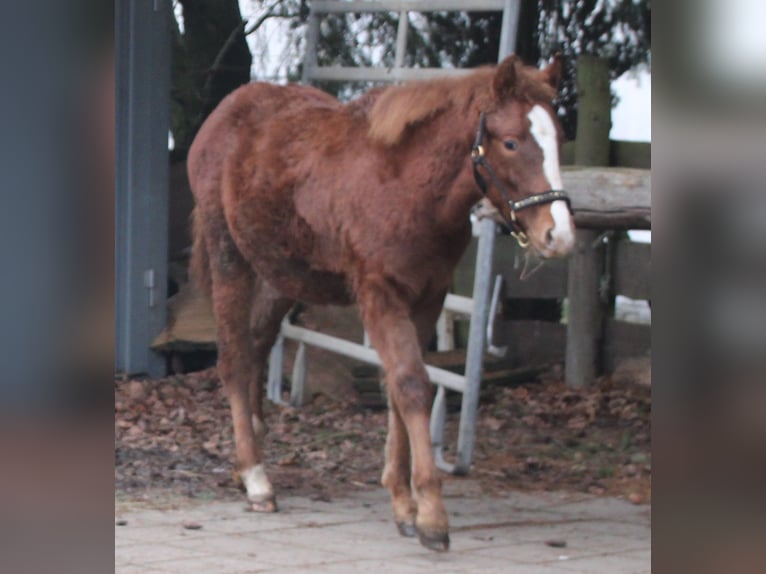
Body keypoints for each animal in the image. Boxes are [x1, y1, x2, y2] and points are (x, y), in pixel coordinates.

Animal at [188, 54, 576, 552]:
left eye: (559, 139)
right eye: (510, 142)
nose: (558, 235)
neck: (409, 186)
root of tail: (224, 112)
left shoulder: (427, 298)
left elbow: (397, 387)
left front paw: (403, 501)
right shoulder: (379, 293)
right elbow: (411, 383)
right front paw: (431, 515)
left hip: (281, 274)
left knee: (256, 345)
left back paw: (245, 462)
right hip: (228, 255)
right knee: (234, 356)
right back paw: (257, 479)